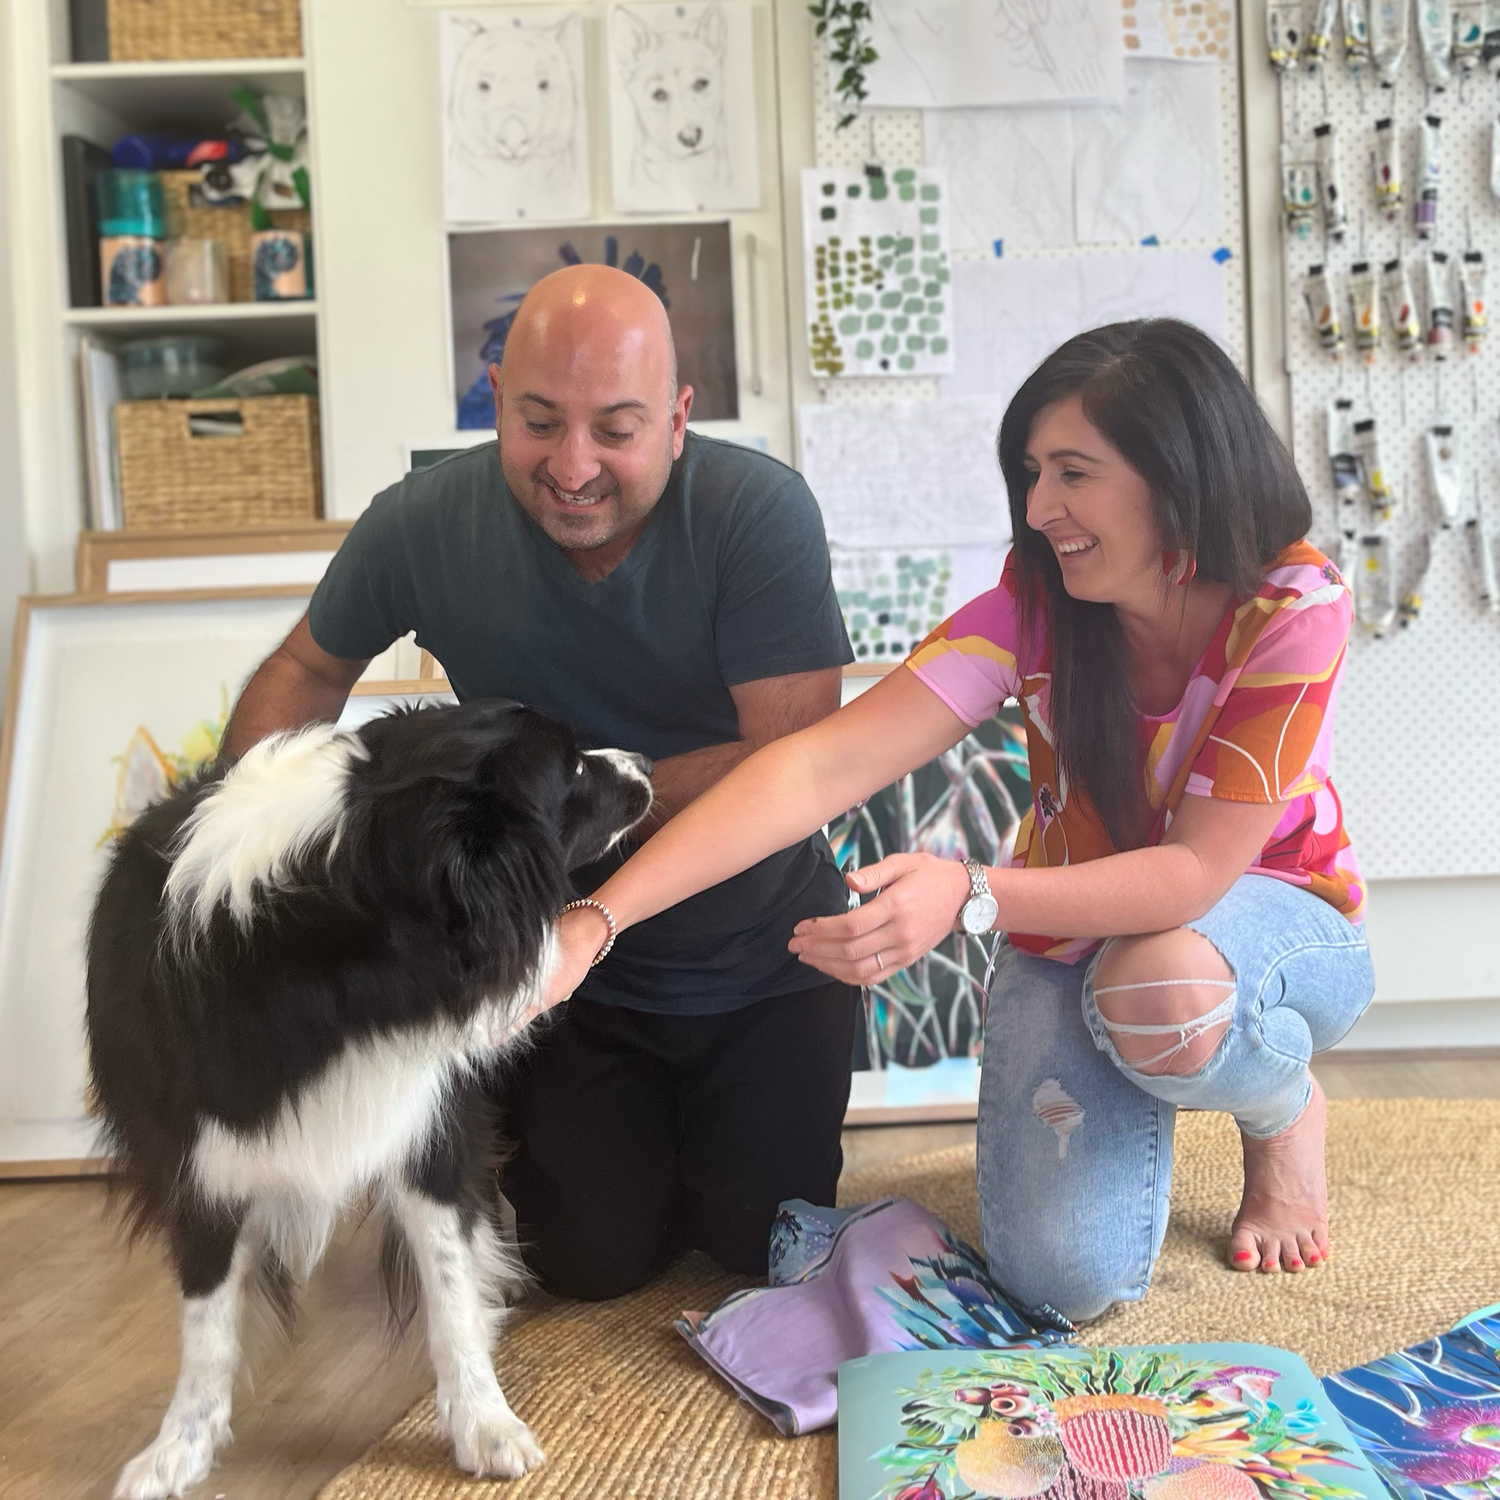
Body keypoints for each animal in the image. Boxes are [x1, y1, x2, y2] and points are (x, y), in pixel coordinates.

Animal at [87, 702, 651, 1500]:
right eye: (570, 765)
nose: (645, 764)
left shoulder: (429, 1123)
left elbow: (448, 1286)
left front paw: (483, 1421)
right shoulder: (192, 1163)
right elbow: (206, 1324)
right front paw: (176, 1450)